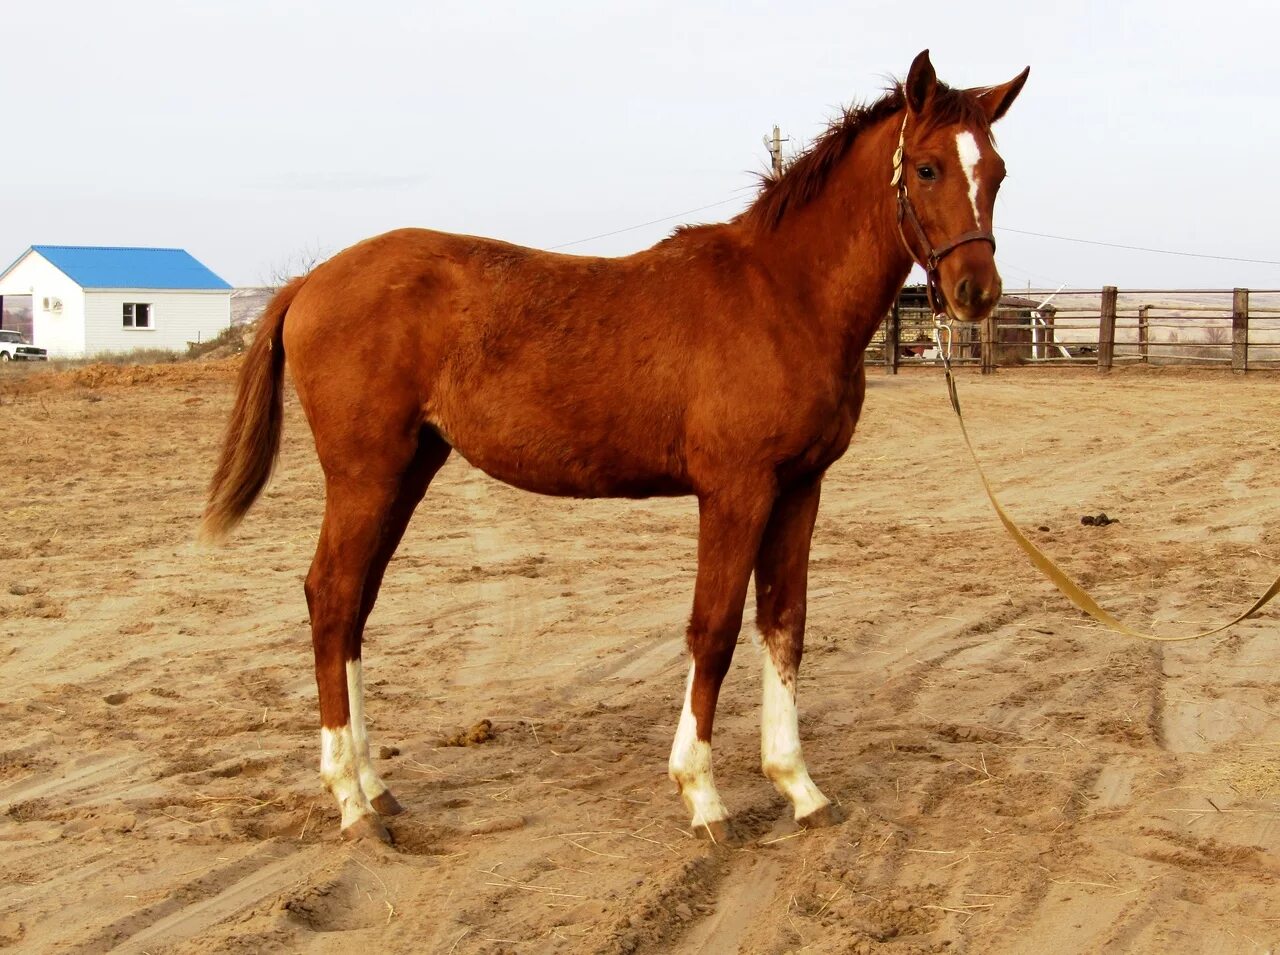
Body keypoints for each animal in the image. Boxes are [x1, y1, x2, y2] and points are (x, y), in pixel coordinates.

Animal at [207, 52, 1029, 839]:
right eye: (926, 167)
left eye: (996, 170)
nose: (975, 291)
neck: (782, 295)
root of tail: (309, 282)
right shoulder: (736, 490)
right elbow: (715, 629)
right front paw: (704, 797)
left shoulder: (800, 486)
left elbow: (784, 626)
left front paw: (799, 787)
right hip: (365, 473)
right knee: (332, 596)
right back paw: (351, 801)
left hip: (409, 468)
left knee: (353, 605)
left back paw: (375, 787)